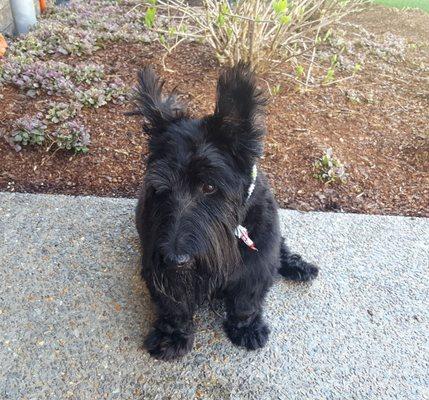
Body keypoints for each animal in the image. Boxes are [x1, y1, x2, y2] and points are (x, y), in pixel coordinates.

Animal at [134, 61, 318, 360]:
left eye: (209, 186)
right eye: (160, 189)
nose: (175, 259)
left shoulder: (258, 260)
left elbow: (246, 300)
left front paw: (246, 328)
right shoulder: (156, 265)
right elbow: (173, 305)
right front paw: (172, 336)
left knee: (283, 249)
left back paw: (298, 266)